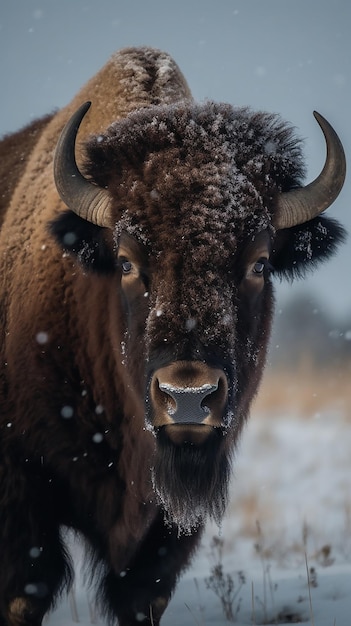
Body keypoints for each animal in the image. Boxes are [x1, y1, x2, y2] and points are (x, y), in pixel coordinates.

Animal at [0, 46, 346, 620]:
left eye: (259, 263)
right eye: (125, 261)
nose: (187, 397)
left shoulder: (163, 537)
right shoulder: (22, 497)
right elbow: (24, 592)